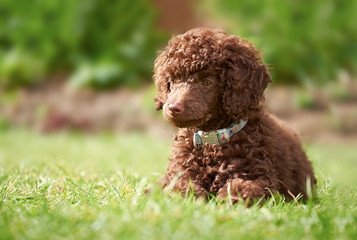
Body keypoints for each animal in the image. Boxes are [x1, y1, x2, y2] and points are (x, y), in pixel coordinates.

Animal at [152, 28, 314, 204]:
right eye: (173, 80)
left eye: (207, 82)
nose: (173, 108)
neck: (211, 140)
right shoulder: (177, 173)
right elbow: (179, 186)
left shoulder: (260, 178)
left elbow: (239, 187)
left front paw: (226, 200)